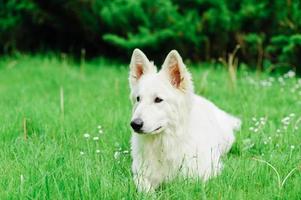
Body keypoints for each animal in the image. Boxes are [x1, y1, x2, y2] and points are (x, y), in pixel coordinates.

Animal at [127, 48, 240, 192]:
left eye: (158, 99)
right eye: (138, 99)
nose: (135, 124)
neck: (165, 143)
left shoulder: (203, 173)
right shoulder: (140, 174)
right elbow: (144, 187)